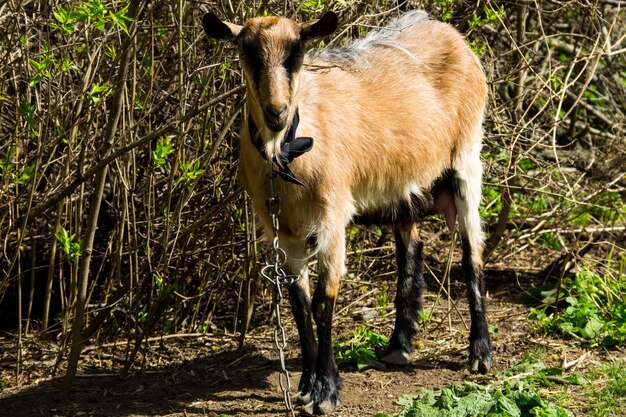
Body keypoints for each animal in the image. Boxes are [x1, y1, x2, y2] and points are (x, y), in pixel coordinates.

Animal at [202, 8, 490, 412]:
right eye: (247, 53)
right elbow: (298, 303)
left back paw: (480, 352)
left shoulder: (332, 216)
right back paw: (399, 345)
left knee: (472, 252)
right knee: (410, 248)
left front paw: (326, 390)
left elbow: (323, 302)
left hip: (466, 157)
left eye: (297, 52)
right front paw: (306, 382)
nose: (277, 112)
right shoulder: (282, 230)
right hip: (401, 182)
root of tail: (447, 31)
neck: (286, 151)